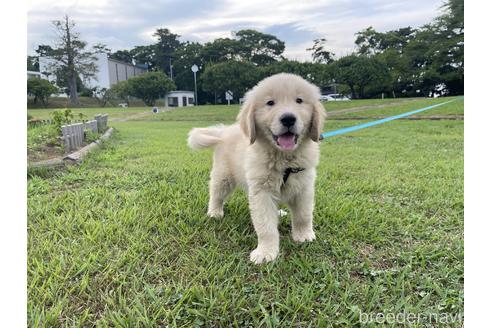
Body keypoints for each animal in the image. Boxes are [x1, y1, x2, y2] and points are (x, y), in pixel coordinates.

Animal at [188, 73, 326, 262]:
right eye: (270, 103)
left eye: (299, 100)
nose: (288, 118)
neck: (283, 159)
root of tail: (224, 131)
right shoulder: (261, 191)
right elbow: (265, 225)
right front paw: (266, 252)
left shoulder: (303, 186)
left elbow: (304, 215)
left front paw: (304, 236)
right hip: (223, 176)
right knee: (216, 194)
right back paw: (214, 212)